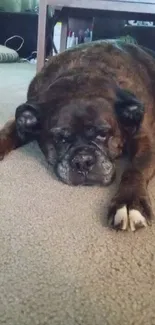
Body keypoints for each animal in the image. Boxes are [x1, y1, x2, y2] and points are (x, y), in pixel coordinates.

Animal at [0, 41, 155, 230]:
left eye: (103, 134)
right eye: (60, 139)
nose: (83, 161)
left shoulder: (145, 140)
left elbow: (134, 170)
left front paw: (129, 202)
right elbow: (6, 132)